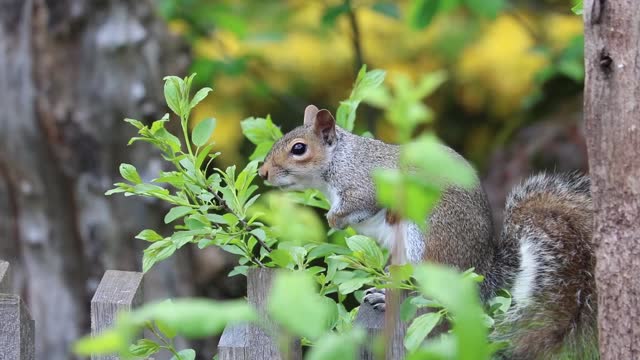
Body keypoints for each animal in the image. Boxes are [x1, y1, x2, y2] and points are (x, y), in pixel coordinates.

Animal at [258, 105, 596, 360]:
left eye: (298, 149)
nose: (262, 172)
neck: (340, 160)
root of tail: (482, 272)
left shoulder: (365, 185)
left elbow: (359, 203)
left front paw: (333, 218)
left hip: (424, 237)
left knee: (430, 294)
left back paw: (386, 296)